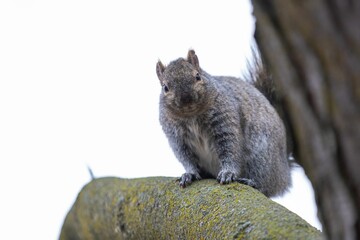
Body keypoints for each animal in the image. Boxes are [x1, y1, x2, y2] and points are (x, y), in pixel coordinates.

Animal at [156, 48, 292, 197]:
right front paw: (190, 174)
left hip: (262, 157)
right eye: (165, 87)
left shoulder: (225, 123)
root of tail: (285, 170)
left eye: (197, 76)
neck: (191, 115)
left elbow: (230, 149)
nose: (186, 99)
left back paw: (253, 182)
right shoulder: (177, 138)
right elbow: (186, 158)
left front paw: (227, 173)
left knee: (267, 185)